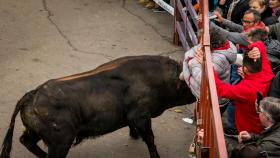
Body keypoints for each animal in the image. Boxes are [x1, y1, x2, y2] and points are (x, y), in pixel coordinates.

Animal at [1, 55, 196, 157]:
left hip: (36, 132)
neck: (155, 79)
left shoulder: (134, 117)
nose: (196, 97)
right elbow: (150, 139)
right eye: (188, 83)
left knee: (26, 140)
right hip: (61, 141)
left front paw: (133, 135)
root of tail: (31, 94)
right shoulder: (141, 116)